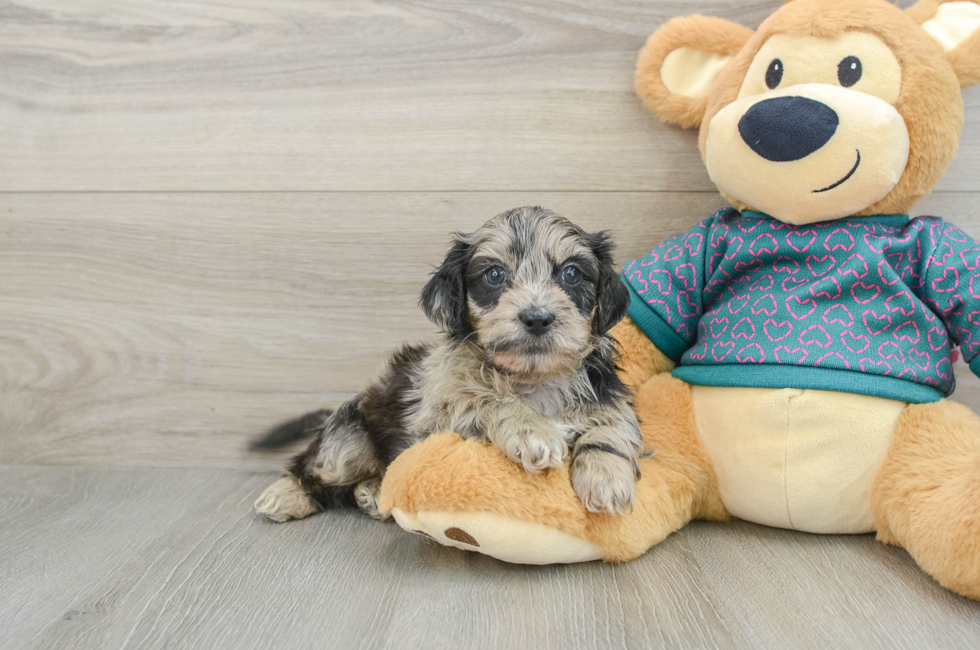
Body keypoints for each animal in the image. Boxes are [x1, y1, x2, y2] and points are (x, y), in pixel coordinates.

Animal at [253, 208, 644, 520]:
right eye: (495, 275)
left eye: (572, 274)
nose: (537, 318)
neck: (531, 378)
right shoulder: (438, 418)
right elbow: (488, 400)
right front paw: (532, 430)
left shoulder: (609, 397)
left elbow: (613, 428)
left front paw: (607, 478)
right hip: (348, 439)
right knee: (314, 466)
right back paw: (285, 495)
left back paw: (373, 492)